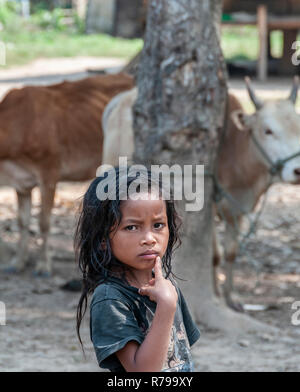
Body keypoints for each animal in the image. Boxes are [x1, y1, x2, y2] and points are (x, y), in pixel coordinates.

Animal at [0, 72, 134, 276]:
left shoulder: (49, 173)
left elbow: (43, 222)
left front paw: (44, 265)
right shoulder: (21, 183)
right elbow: (22, 222)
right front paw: (17, 262)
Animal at [101, 79, 300, 310]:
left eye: (298, 128)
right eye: (268, 130)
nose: (297, 170)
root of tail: (121, 99)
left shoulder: (237, 209)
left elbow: (231, 253)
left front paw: (231, 296)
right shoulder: (211, 207)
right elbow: (215, 255)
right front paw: (216, 294)